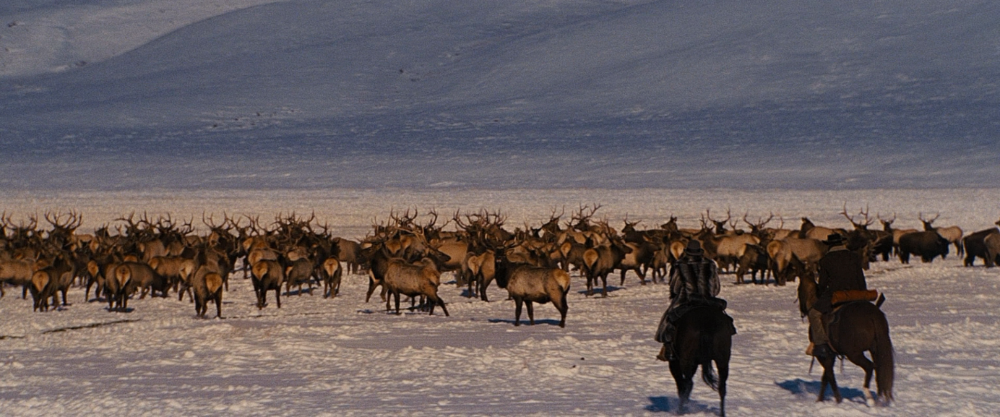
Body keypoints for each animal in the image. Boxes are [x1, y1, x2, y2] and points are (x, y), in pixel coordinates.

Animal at [800, 270, 896, 404]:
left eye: (799, 290)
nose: (802, 312)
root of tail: (872, 315)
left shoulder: (824, 355)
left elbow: (829, 376)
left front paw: (835, 399)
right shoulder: (832, 354)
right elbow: (826, 377)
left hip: (854, 354)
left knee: (870, 366)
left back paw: (869, 396)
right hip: (876, 349)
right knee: (879, 370)